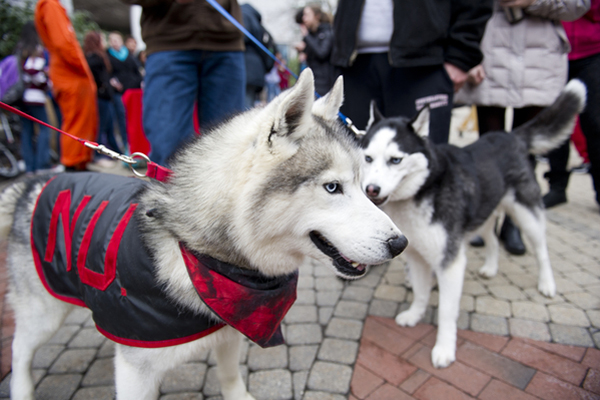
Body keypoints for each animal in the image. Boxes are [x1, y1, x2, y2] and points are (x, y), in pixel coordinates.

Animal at [0, 69, 408, 400]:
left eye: (361, 183)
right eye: (332, 187)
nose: (400, 244)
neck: (203, 254)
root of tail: (33, 182)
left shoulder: (226, 334)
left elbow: (230, 378)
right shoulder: (135, 371)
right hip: (44, 314)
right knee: (20, 349)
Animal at [358, 80, 584, 368]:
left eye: (395, 160)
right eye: (368, 158)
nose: (371, 189)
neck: (422, 191)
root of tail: (510, 136)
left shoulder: (450, 262)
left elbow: (446, 311)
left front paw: (444, 348)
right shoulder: (417, 256)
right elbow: (420, 292)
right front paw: (415, 314)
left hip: (526, 214)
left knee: (541, 250)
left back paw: (547, 284)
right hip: (484, 210)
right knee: (491, 240)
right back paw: (490, 267)